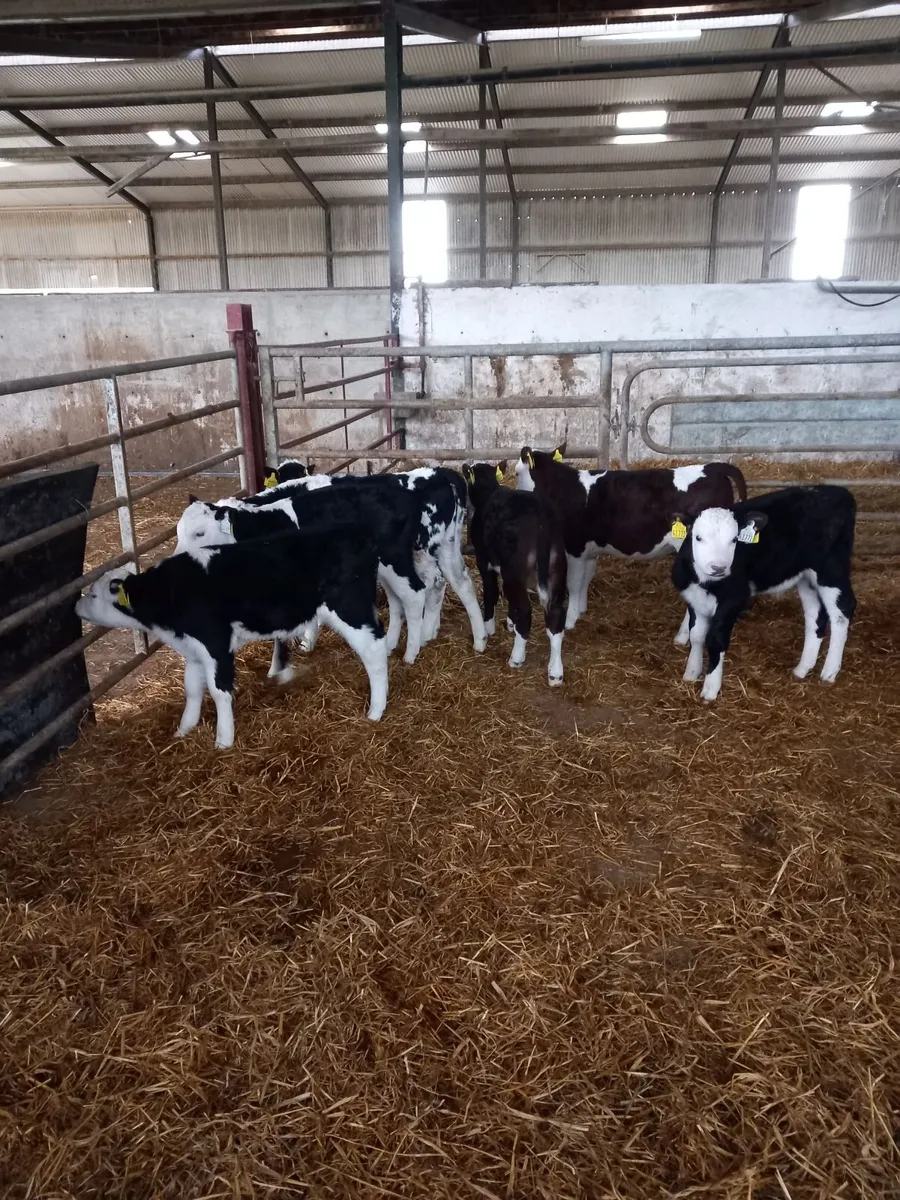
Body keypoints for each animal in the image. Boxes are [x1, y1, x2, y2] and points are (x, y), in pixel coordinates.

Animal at [75, 526, 389, 748]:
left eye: (94, 595)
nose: (76, 605)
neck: (170, 592)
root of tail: (357, 534)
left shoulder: (215, 644)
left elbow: (218, 691)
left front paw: (223, 740)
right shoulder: (193, 650)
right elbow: (192, 689)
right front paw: (183, 730)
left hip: (349, 609)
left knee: (374, 651)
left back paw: (376, 710)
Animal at [464, 461, 567, 685]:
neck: (488, 491)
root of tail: (540, 511)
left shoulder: (484, 561)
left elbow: (491, 592)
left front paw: (489, 626)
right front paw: (510, 622)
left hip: (514, 567)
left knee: (526, 611)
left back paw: (517, 658)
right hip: (554, 565)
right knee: (555, 615)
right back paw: (555, 672)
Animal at [515, 444, 747, 636]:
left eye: (517, 472)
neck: (565, 489)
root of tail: (713, 468)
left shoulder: (575, 547)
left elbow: (573, 584)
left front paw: (571, 620)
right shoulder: (590, 550)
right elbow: (585, 580)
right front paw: (581, 610)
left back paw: (683, 636)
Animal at [671, 484, 856, 702]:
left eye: (734, 540)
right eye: (698, 537)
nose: (718, 567)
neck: (706, 583)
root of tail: (837, 490)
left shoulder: (733, 599)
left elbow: (715, 640)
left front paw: (710, 689)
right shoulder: (693, 597)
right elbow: (697, 636)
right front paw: (691, 673)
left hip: (831, 570)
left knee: (841, 612)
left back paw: (829, 671)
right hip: (805, 576)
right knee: (816, 615)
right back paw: (802, 668)